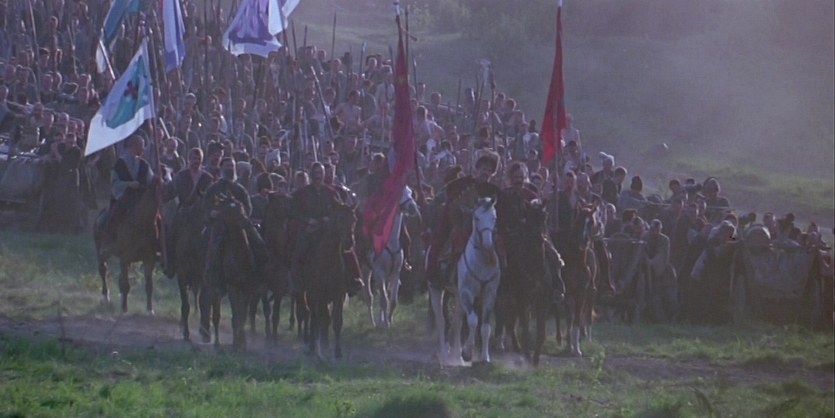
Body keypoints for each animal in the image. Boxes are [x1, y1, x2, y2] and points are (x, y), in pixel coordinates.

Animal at [93, 178, 161, 314]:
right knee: (103, 270)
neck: (141, 224)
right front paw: (124, 309)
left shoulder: (149, 259)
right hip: (102, 252)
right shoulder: (125, 258)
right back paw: (105, 298)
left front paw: (149, 310)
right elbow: (125, 284)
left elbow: (149, 285)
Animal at [302, 202, 357, 359]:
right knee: (315, 317)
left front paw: (338, 352)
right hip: (310, 296)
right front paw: (317, 350)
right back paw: (313, 346)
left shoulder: (339, 295)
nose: (349, 242)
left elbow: (337, 322)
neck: (328, 261)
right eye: (340, 218)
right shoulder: (316, 294)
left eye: (354, 219)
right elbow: (318, 318)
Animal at [364, 186, 420, 327]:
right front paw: (385, 324)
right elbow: (384, 299)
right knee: (370, 296)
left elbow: (393, 300)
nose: (412, 207)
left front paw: (389, 320)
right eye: (400, 192)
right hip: (366, 271)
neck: (389, 241)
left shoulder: (395, 272)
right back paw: (373, 322)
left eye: (411, 193)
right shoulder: (379, 272)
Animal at [430, 197, 500, 366]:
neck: (481, 261)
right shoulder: (467, 293)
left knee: (456, 323)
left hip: (457, 295)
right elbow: (473, 320)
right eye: (477, 218)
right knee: (442, 321)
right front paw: (467, 353)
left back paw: (457, 358)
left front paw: (485, 357)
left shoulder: (489, 294)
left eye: (494, 218)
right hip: (436, 290)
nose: (488, 245)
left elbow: (485, 326)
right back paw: (445, 355)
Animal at [555, 202, 598, 357]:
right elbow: (570, 318)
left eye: (591, 222)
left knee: (586, 314)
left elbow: (578, 319)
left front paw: (577, 348)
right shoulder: (568, 293)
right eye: (579, 221)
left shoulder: (581, 293)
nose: (584, 241)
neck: (576, 262)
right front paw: (569, 346)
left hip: (590, 294)